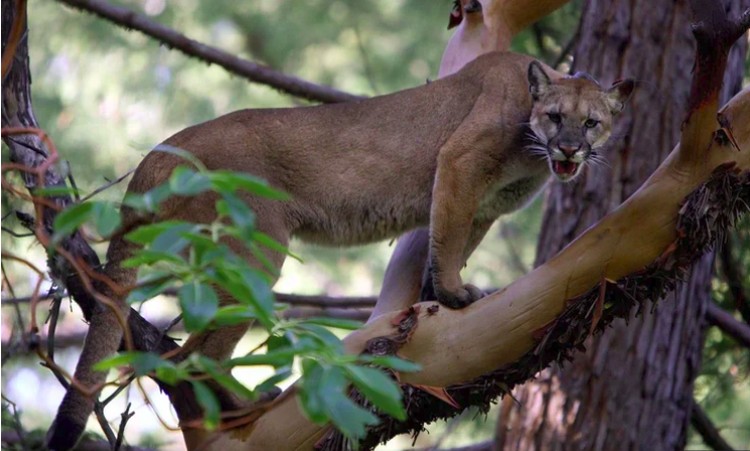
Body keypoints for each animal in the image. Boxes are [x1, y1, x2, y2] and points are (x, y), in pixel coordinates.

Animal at [48, 52, 636, 448]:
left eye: (592, 122)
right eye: (555, 116)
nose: (568, 148)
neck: (531, 150)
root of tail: (163, 147)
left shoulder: (485, 206)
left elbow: (450, 242)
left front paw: (435, 294)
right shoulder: (460, 165)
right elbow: (447, 240)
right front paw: (453, 295)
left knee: (184, 351)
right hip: (256, 247)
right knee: (194, 352)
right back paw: (245, 407)